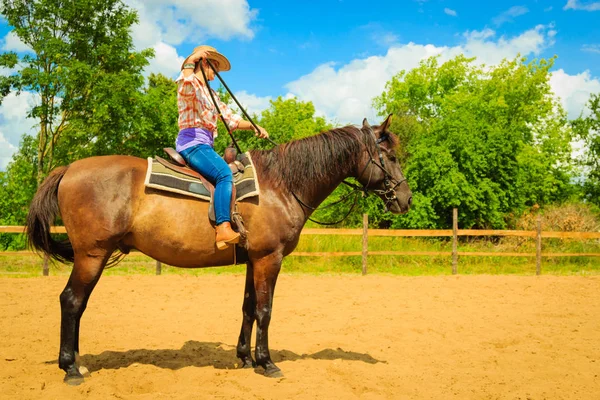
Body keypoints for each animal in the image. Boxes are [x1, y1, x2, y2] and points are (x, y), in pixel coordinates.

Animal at [28, 115, 412, 384]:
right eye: (390, 156)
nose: (405, 199)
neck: (281, 185)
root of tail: (68, 169)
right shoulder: (269, 258)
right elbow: (265, 310)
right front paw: (267, 363)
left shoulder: (252, 259)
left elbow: (248, 308)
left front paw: (245, 358)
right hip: (92, 255)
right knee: (72, 301)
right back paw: (70, 368)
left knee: (77, 305)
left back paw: (78, 362)